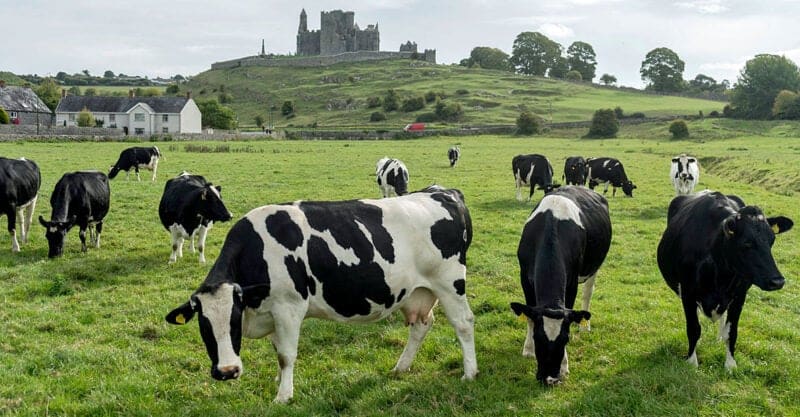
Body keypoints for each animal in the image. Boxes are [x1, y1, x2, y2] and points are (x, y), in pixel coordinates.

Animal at [163, 186, 476, 404]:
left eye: (233, 319)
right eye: (203, 325)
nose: (227, 371)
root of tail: (442, 191)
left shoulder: (289, 307)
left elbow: (286, 355)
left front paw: (283, 396)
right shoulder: (272, 312)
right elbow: (278, 352)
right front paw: (279, 382)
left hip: (449, 282)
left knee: (463, 323)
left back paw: (470, 373)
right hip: (417, 292)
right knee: (422, 325)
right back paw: (401, 367)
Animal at [510, 187, 608, 386]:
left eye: (566, 339)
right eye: (537, 337)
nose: (550, 379)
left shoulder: (571, 283)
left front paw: (563, 366)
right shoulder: (524, 277)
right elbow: (529, 315)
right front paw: (528, 349)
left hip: (594, 267)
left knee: (587, 294)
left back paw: (585, 326)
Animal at [656, 190, 792, 368]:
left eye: (772, 241)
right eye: (747, 243)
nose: (777, 281)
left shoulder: (739, 296)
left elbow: (731, 332)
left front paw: (730, 364)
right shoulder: (687, 293)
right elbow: (694, 328)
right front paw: (692, 362)